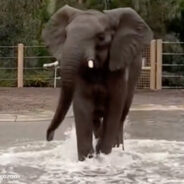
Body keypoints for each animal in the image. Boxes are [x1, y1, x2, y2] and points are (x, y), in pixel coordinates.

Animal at [42, 5, 153, 160]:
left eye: (101, 37)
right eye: (66, 35)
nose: (49, 137)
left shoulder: (118, 65)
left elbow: (114, 107)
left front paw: (103, 155)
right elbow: (82, 104)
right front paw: (87, 159)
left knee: (122, 114)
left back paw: (118, 148)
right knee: (95, 117)